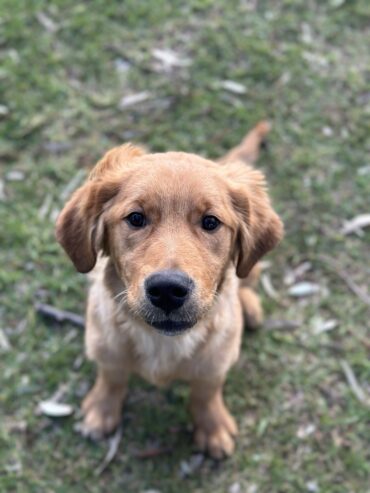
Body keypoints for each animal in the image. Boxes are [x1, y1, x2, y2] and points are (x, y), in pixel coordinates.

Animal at [55, 122, 284, 458]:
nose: (167, 290)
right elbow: (112, 375)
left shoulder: (217, 359)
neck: (161, 342)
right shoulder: (104, 343)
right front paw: (101, 410)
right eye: (136, 218)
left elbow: (206, 391)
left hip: (250, 269)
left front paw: (212, 427)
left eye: (211, 222)